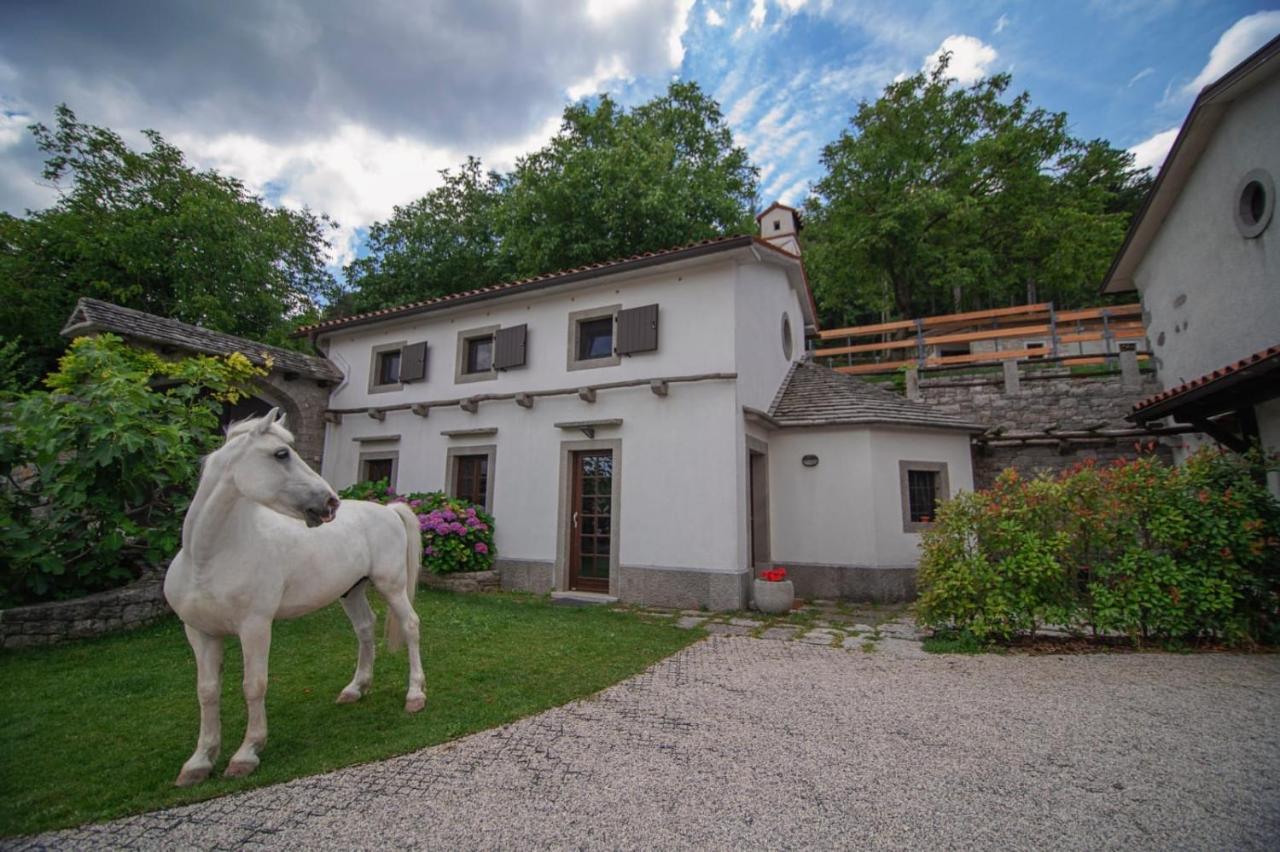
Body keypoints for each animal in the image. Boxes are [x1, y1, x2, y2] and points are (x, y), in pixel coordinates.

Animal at [162, 409, 424, 788]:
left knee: (410, 625)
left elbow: (253, 684)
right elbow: (207, 691)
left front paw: (247, 753)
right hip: (351, 590)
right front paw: (200, 760)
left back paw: (415, 694)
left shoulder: (255, 626)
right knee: (365, 628)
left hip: (391, 584)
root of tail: (388, 510)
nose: (330, 502)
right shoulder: (199, 632)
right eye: (281, 454)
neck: (208, 557)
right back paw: (356, 688)